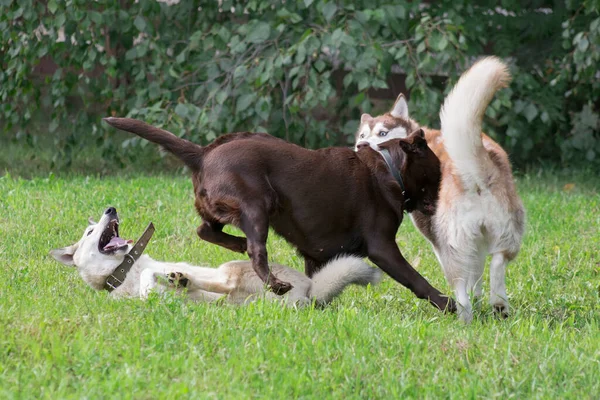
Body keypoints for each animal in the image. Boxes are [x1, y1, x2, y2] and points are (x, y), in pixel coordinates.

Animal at [50, 206, 380, 306]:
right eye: (89, 232)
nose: (111, 209)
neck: (123, 273)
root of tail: (311, 291)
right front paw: (157, 288)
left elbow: (149, 273)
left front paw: (158, 281)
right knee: (223, 292)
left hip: (229, 267)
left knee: (221, 285)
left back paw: (182, 280)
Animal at [103, 119, 458, 312]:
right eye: (438, 170)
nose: (448, 193)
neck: (389, 168)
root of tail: (203, 154)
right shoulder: (382, 247)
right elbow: (415, 279)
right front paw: (448, 304)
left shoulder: (318, 254)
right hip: (257, 201)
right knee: (255, 250)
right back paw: (274, 282)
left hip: (224, 206)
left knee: (206, 231)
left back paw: (236, 245)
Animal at [356, 57, 524, 324]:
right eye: (362, 134)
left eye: (382, 133)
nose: (360, 144)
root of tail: (473, 170)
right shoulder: (477, 240)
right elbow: (477, 274)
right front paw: (480, 298)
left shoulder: (435, 235)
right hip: (506, 228)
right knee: (499, 260)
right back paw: (498, 303)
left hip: (451, 240)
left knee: (460, 284)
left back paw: (464, 317)